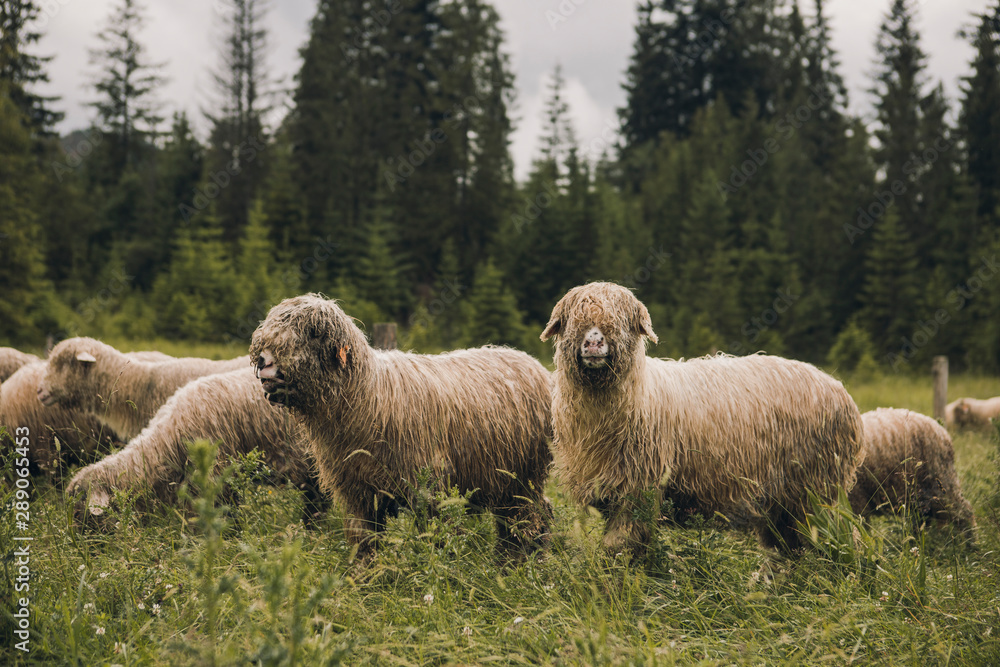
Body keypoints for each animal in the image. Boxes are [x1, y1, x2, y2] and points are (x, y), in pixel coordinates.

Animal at [249, 293, 553, 560]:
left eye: (312, 332)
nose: (263, 361)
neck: (368, 393)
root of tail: (532, 362)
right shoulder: (357, 490)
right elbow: (364, 537)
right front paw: (367, 575)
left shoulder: (428, 486)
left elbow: (435, 536)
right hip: (506, 477)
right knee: (522, 515)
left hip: (525, 475)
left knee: (529, 516)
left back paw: (523, 560)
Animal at [540, 282, 864, 556]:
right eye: (572, 320)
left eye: (620, 321)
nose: (594, 344)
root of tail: (840, 390)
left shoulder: (637, 490)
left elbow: (622, 544)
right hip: (786, 503)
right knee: (786, 550)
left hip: (816, 491)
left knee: (836, 542)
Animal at [850, 408, 975, 538]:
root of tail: (941, 431)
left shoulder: (857, 499)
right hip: (922, 495)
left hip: (941, 483)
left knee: (963, 512)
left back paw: (969, 539)